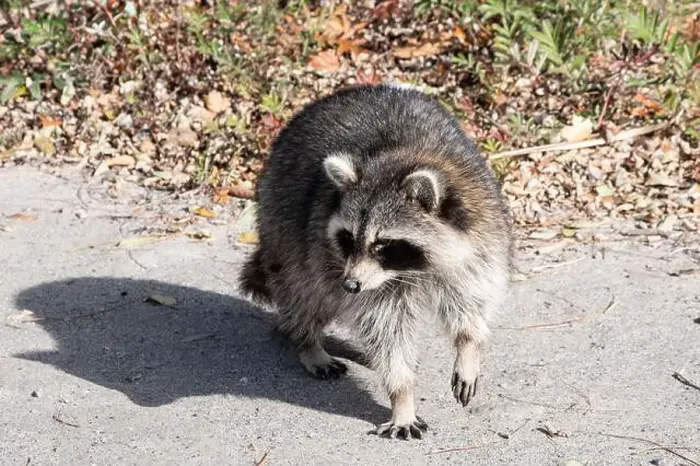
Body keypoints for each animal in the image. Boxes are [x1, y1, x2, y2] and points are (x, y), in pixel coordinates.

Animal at [239, 84, 512, 440]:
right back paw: (307, 341)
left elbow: (470, 300)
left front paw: (469, 347)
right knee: (305, 291)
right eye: (349, 238)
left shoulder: (481, 237)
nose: (350, 284)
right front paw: (402, 395)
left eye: (383, 243)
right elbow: (386, 331)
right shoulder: (362, 276)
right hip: (283, 221)